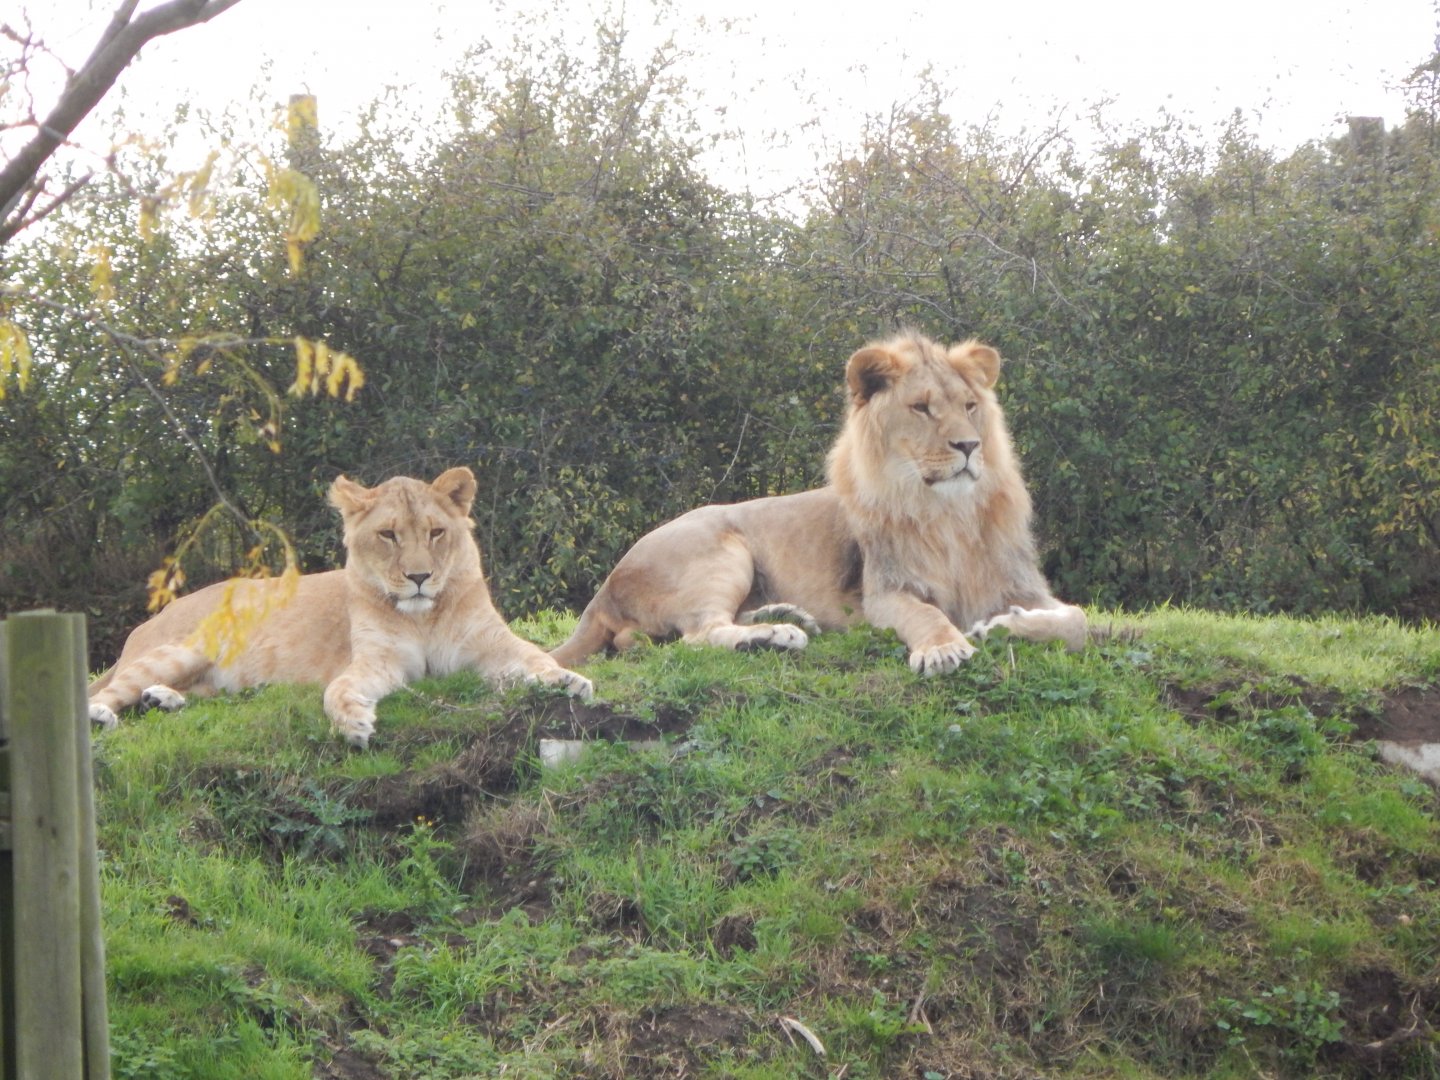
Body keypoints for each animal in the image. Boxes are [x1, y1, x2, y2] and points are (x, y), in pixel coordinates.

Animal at [89, 467, 593, 747]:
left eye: (435, 532)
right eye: (388, 535)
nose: (419, 578)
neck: (425, 617)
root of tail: (146, 623)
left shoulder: (492, 646)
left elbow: (534, 657)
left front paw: (566, 681)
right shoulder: (380, 662)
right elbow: (338, 688)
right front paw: (353, 723)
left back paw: (162, 699)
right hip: (180, 650)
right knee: (106, 691)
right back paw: (102, 714)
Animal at [551, 332, 1085, 674]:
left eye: (970, 406)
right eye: (921, 408)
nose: (970, 445)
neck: (949, 513)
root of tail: (604, 588)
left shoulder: (1021, 583)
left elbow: (1077, 619)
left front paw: (1005, 625)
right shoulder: (884, 593)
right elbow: (927, 616)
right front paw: (943, 650)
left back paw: (786, 617)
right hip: (719, 548)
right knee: (697, 635)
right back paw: (777, 636)